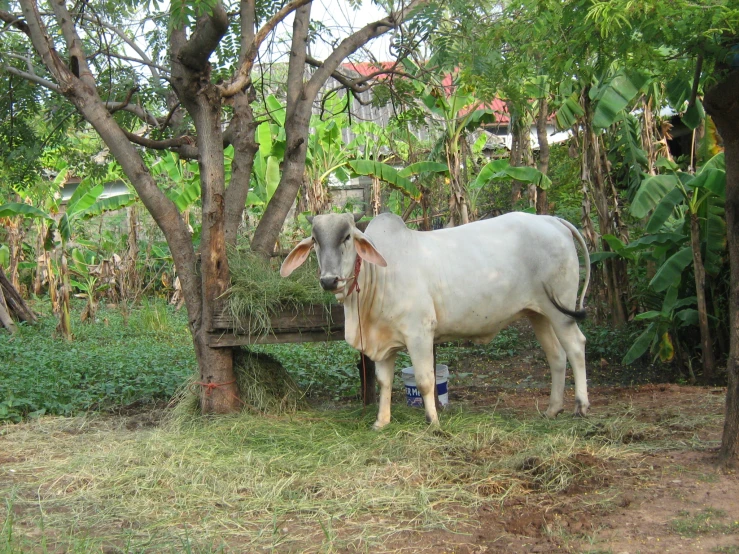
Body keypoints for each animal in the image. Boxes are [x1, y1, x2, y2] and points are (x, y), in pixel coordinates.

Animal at [280, 211, 592, 426]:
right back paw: (552, 409)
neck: (378, 275)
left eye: (347, 237)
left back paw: (581, 405)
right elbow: (384, 382)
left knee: (576, 347)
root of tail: (551, 220)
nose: (329, 280)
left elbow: (425, 379)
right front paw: (381, 422)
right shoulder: (382, 344)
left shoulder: (419, 333)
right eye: (315, 241)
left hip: (561, 309)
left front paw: (433, 421)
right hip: (537, 313)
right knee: (556, 356)